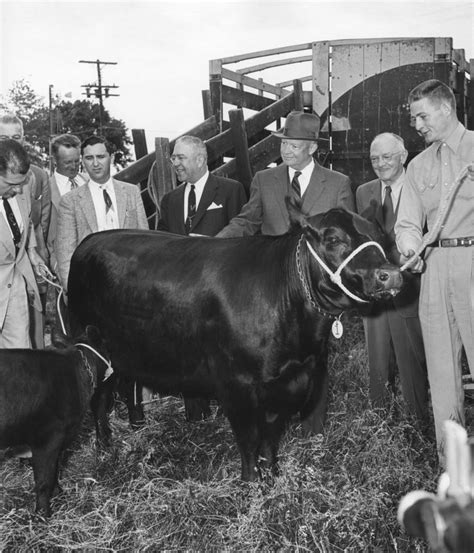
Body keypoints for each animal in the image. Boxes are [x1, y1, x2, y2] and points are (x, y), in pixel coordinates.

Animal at [0, 326, 110, 516]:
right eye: (105, 344)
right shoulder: (47, 439)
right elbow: (44, 479)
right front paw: (43, 514)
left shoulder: (60, 440)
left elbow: (55, 470)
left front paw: (59, 494)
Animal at [65, 202, 400, 478]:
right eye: (333, 239)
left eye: (378, 235)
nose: (390, 274)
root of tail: (88, 242)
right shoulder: (235, 385)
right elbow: (249, 439)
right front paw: (251, 483)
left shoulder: (290, 381)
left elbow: (270, 436)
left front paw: (272, 476)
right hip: (96, 348)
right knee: (100, 399)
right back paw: (105, 446)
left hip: (130, 350)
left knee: (126, 383)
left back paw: (136, 426)